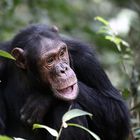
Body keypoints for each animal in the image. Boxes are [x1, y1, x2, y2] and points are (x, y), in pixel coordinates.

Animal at [0, 24, 130, 140]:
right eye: (50, 60)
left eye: (62, 53)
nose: (63, 69)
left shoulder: (85, 57)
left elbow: (117, 111)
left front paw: (43, 99)